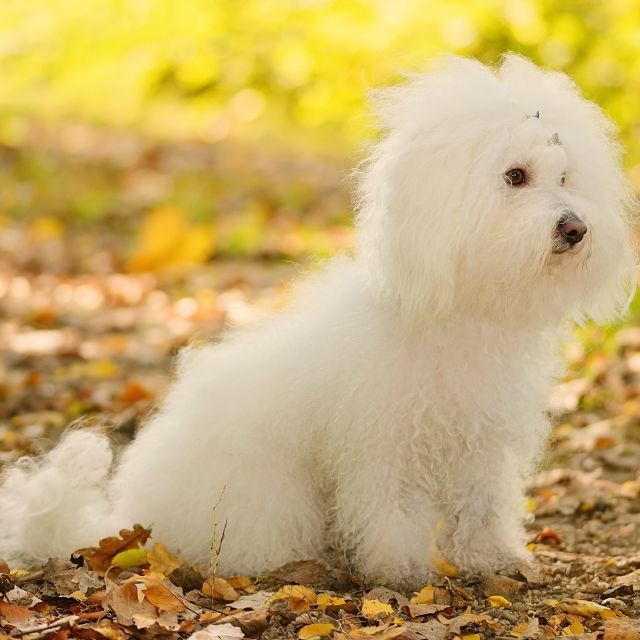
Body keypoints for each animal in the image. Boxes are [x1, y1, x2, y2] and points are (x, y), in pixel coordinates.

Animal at [0, 55, 636, 584]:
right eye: (515, 176)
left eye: (564, 177)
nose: (576, 227)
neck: (459, 308)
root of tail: (128, 520)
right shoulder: (383, 445)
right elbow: (392, 511)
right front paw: (402, 571)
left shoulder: (480, 446)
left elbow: (481, 509)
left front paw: (493, 559)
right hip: (264, 496)